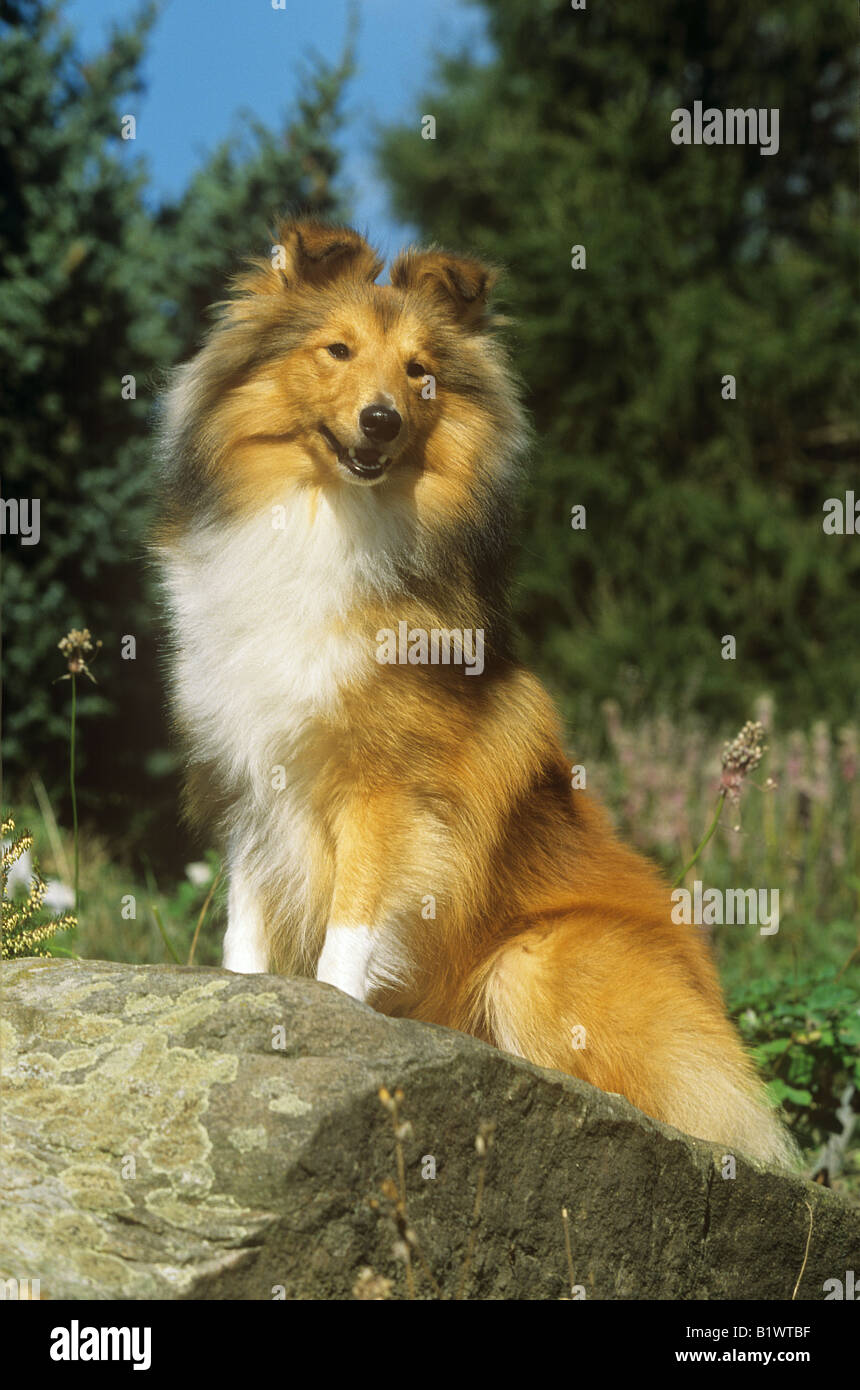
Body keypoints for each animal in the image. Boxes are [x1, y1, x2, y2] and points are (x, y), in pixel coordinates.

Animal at [152, 222, 794, 1167]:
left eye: (420, 371)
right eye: (338, 350)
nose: (381, 419)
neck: (330, 519)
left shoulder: (390, 796)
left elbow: (349, 929)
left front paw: (336, 1017)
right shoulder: (252, 782)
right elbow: (245, 928)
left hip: (538, 961)